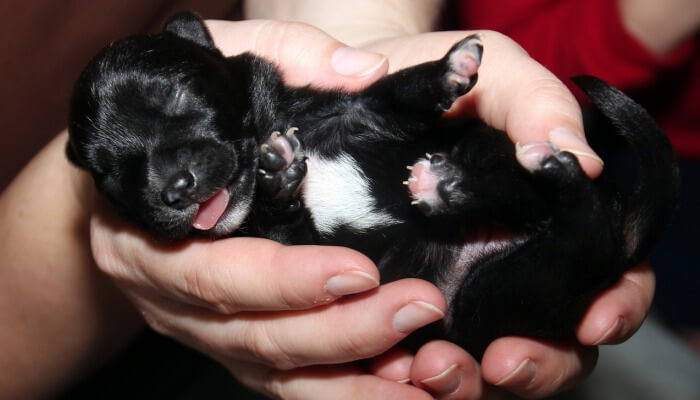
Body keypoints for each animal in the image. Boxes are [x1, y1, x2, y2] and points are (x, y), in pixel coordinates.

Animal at [65, 12, 680, 358]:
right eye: (110, 175)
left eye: (177, 94)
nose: (172, 188)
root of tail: (620, 246)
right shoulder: (296, 245)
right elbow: (292, 228)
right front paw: (279, 178)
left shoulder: (362, 111)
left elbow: (396, 94)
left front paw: (448, 69)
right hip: (497, 297)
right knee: (570, 233)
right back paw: (465, 189)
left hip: (488, 163)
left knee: (538, 201)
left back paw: (489, 182)